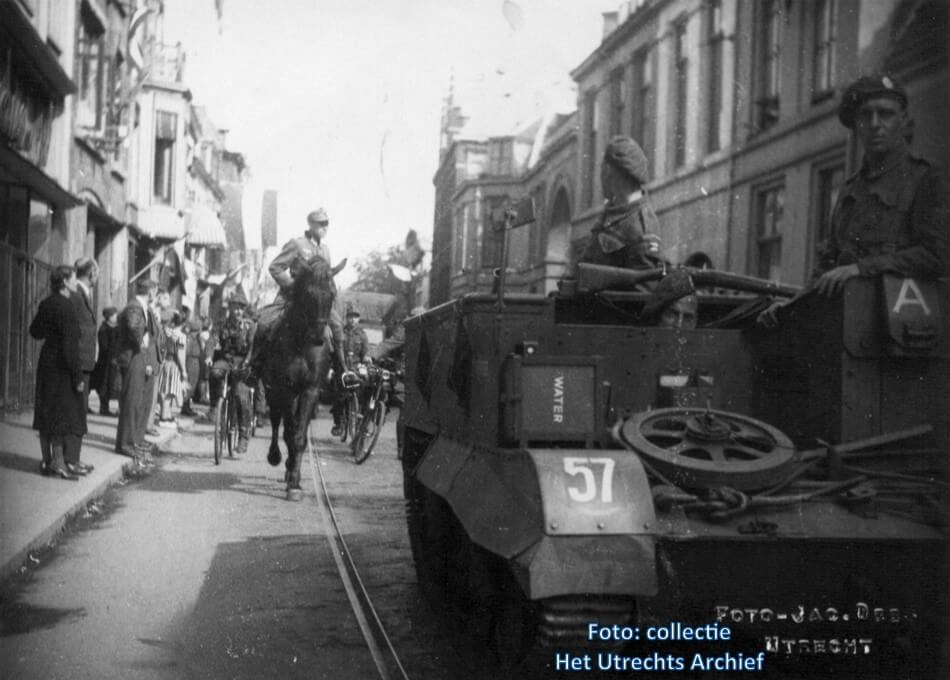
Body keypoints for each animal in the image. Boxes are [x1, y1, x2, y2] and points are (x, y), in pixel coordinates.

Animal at [258, 255, 344, 500]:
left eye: (332, 294)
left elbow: (299, 436)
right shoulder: (285, 390)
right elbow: (288, 433)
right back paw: (276, 457)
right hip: (271, 391)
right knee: (276, 421)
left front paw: (294, 482)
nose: (318, 337)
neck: (301, 343)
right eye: (307, 293)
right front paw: (289, 474)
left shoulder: (310, 391)